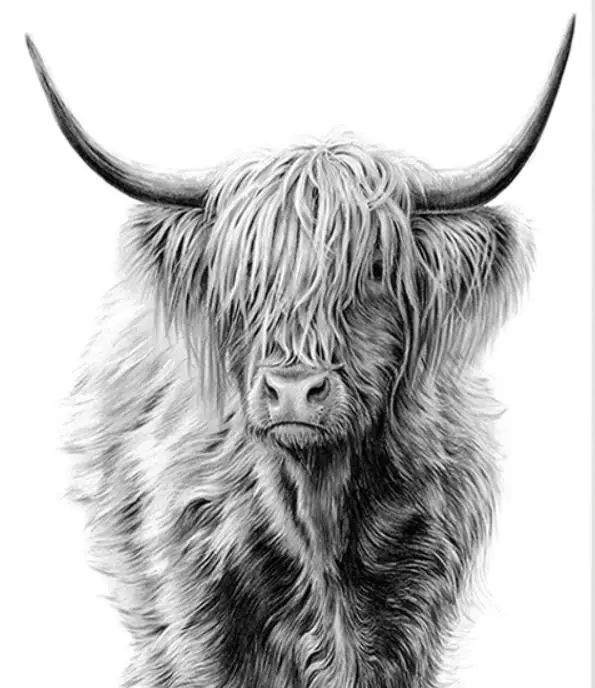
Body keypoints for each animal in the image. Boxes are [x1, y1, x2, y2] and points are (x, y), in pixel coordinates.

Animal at [27, 17, 574, 688]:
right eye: (246, 278)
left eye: (374, 270)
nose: (293, 392)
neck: (319, 516)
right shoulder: (198, 622)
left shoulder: (415, 621)